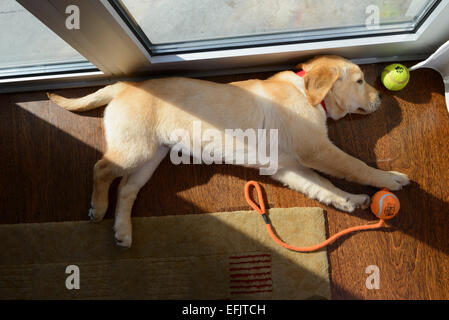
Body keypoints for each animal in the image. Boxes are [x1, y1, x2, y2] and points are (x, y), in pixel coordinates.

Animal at [47, 55, 408, 248]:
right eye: (360, 81)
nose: (381, 97)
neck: (306, 93)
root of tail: (122, 85)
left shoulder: (287, 166)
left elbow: (322, 186)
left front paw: (347, 200)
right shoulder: (317, 149)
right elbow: (356, 166)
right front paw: (389, 179)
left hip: (151, 154)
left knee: (126, 189)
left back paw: (122, 231)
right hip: (135, 147)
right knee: (102, 168)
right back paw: (98, 208)